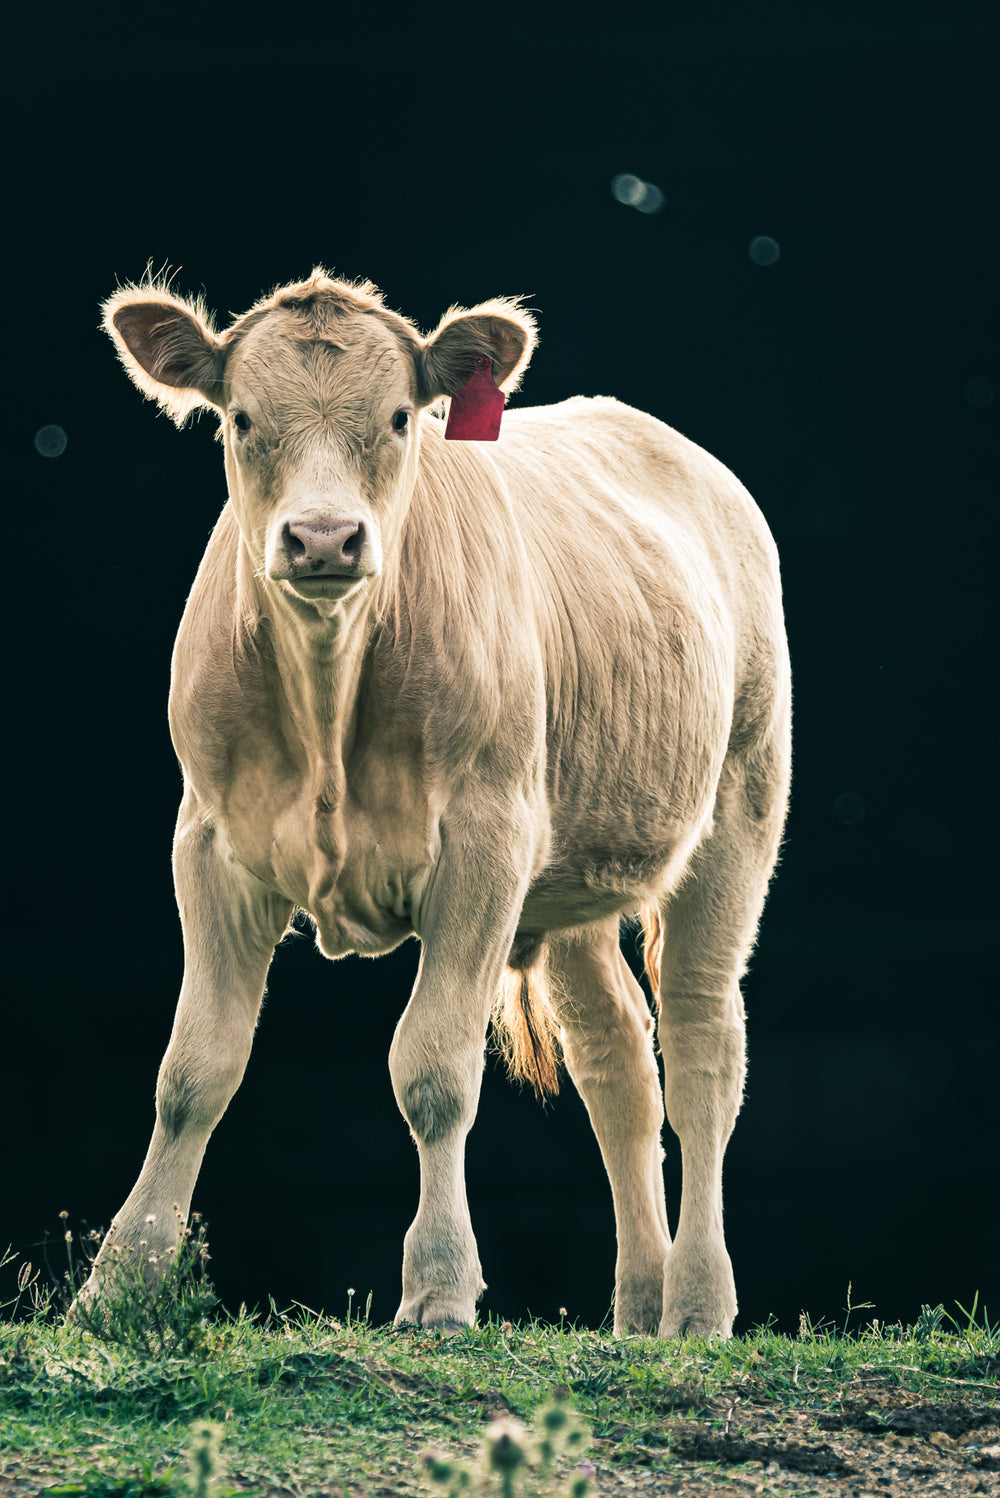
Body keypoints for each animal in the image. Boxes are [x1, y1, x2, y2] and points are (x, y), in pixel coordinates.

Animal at [80, 267, 791, 1339]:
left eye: (400, 416)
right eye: (241, 419)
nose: (322, 538)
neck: (329, 690)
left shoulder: (484, 848)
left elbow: (433, 1072)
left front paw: (441, 1287)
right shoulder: (210, 843)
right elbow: (192, 1073)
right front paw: (120, 1281)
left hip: (737, 811)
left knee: (704, 1049)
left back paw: (698, 1305)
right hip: (570, 869)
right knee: (617, 1061)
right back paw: (637, 1307)